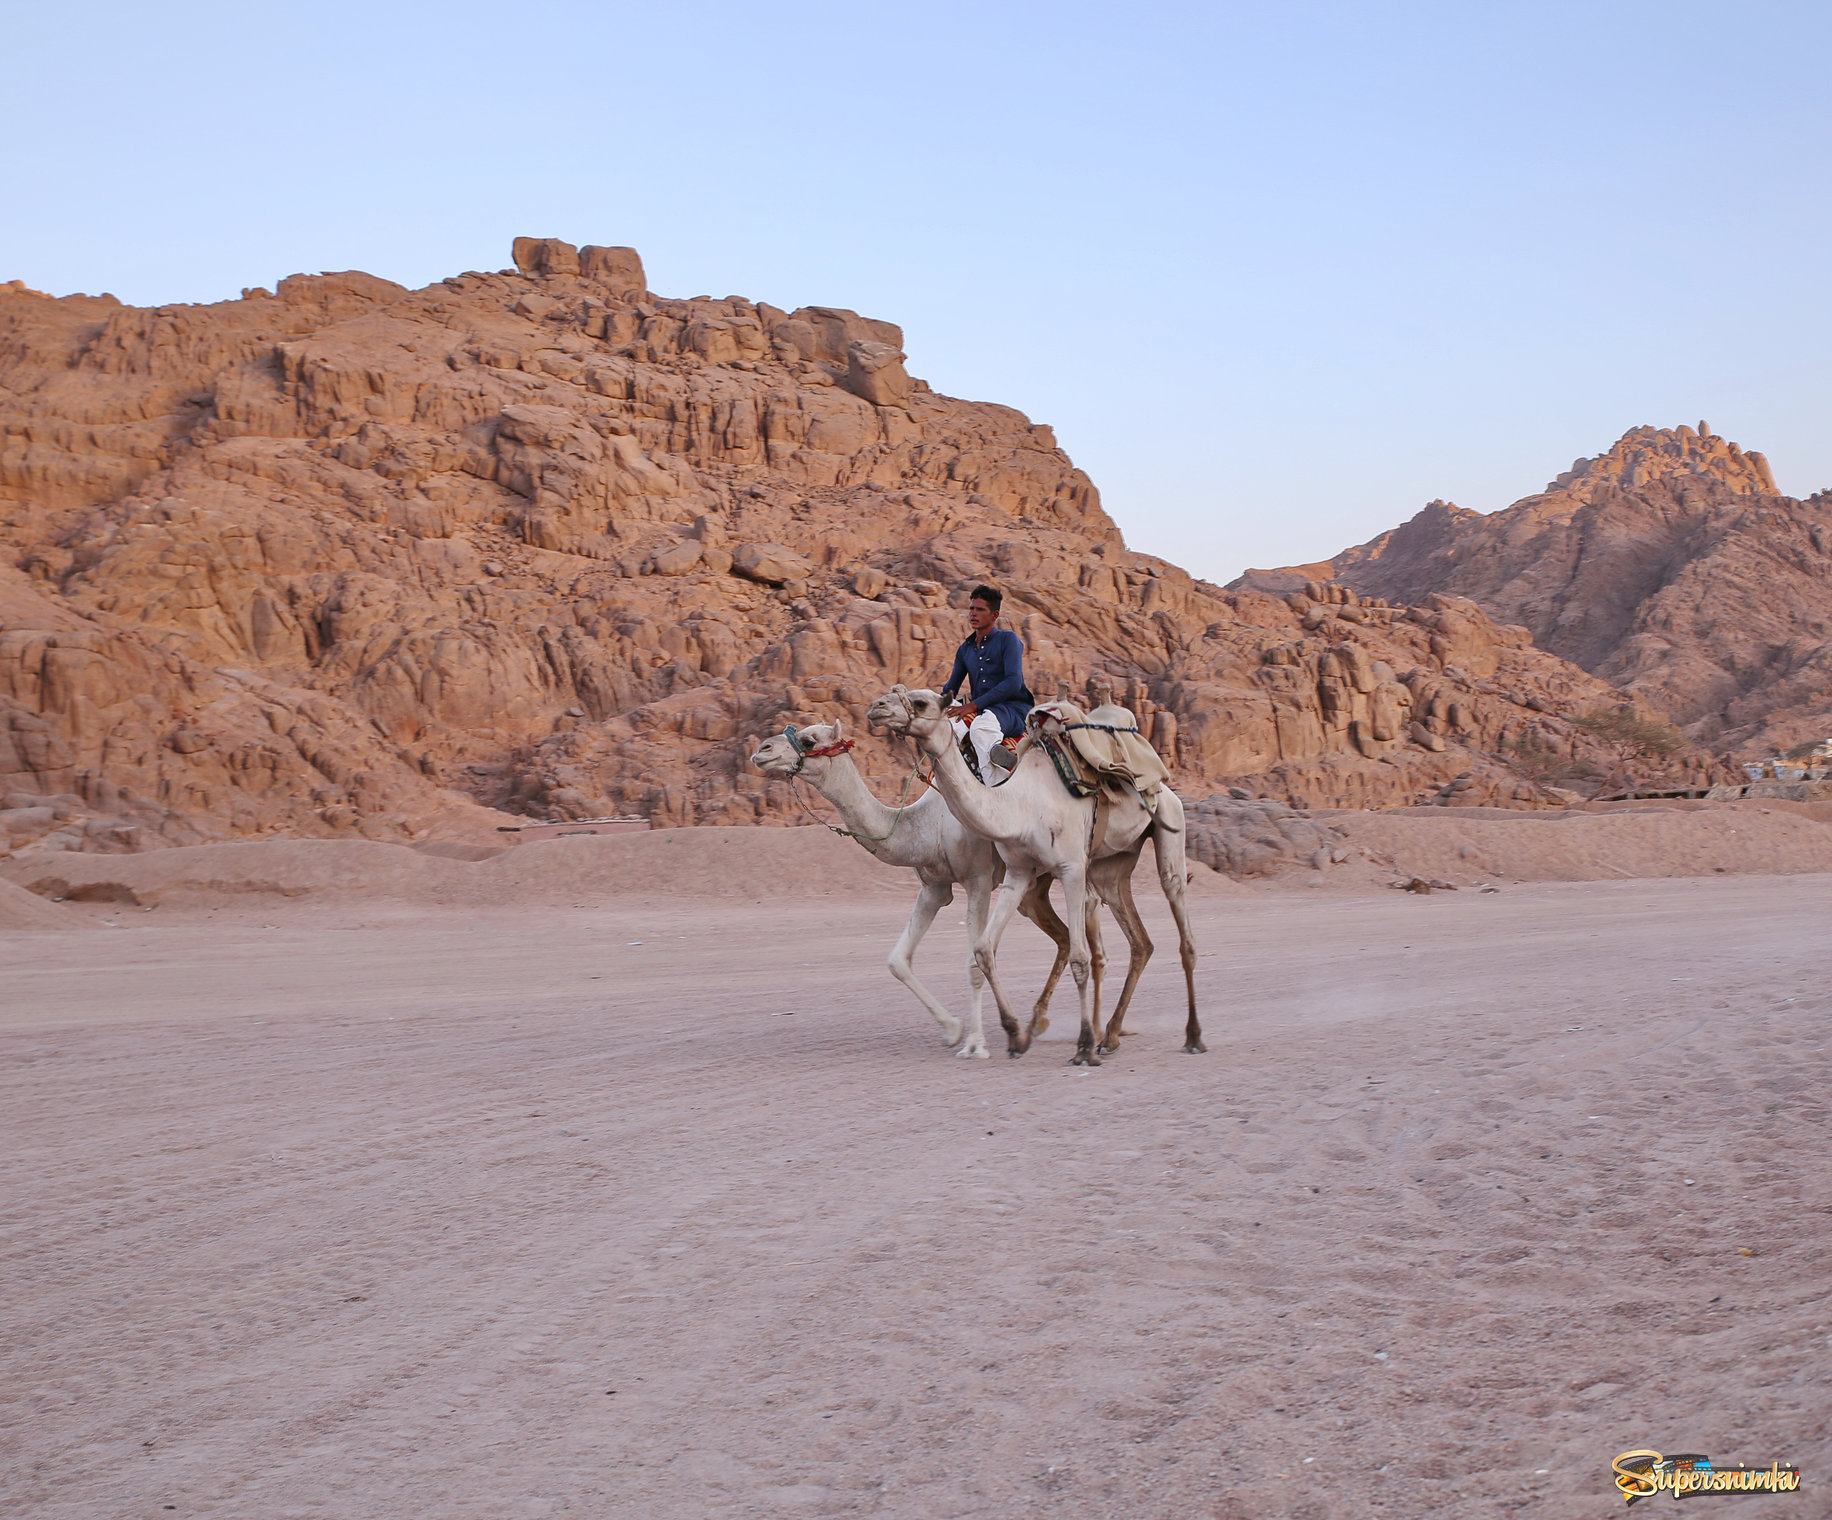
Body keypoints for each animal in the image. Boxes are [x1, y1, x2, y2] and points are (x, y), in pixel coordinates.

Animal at [747, 721, 1077, 1062]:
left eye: (809, 740)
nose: (762, 751)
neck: (929, 824)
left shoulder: (978, 879)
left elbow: (973, 962)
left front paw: (975, 1043)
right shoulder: (933, 888)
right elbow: (897, 961)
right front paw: (952, 1029)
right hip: (1035, 885)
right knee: (1064, 935)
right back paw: (1039, 1022)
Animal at [868, 684, 1209, 1062]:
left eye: (920, 702)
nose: (876, 707)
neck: (1020, 805)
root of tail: (1163, 784)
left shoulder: (1071, 868)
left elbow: (1080, 958)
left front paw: (1082, 1047)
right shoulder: (1018, 872)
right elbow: (983, 949)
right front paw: (1016, 1036)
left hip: (1169, 825)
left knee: (1180, 922)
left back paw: (1191, 1036)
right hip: (1111, 866)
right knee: (1141, 942)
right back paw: (1110, 1036)